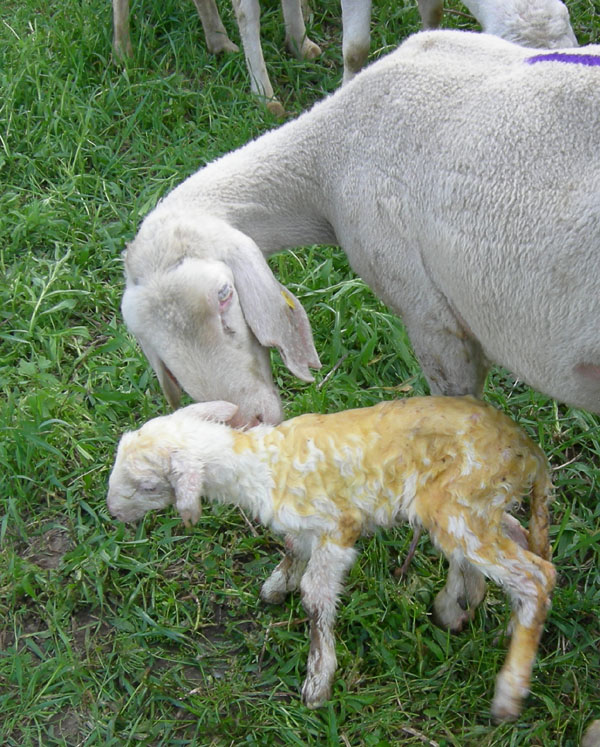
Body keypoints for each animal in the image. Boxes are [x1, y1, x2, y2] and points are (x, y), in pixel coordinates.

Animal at [105, 398, 556, 720]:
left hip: (460, 503)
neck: (260, 463)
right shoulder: (307, 526)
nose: (113, 512)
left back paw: (508, 690)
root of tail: (532, 454)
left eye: (147, 485)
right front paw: (276, 587)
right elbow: (292, 549)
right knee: (516, 538)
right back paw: (470, 607)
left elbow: (316, 597)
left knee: (537, 574)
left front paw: (318, 680)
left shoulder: (339, 528)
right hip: (472, 506)